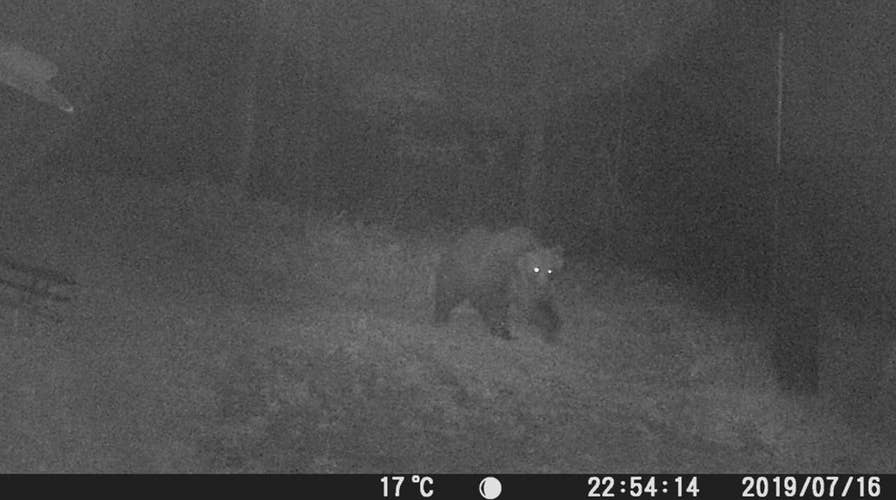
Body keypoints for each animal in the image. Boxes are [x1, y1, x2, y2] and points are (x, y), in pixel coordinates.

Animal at [433, 226, 563, 340]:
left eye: (550, 270)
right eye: (536, 269)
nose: (543, 287)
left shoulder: (528, 291)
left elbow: (539, 307)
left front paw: (551, 326)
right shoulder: (499, 280)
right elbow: (496, 306)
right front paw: (502, 331)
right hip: (458, 273)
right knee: (448, 294)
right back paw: (440, 316)